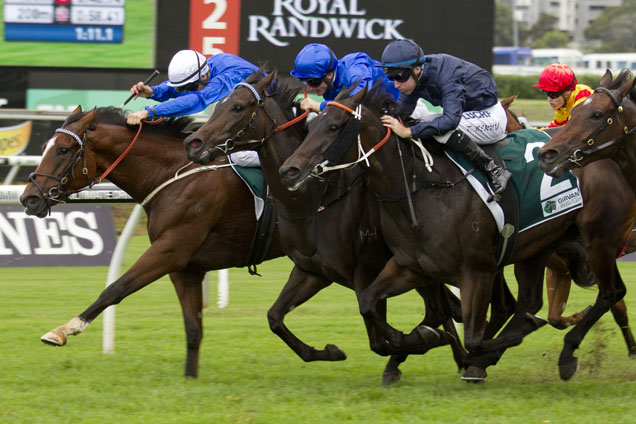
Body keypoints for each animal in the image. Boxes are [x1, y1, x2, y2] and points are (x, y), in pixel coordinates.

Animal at [19, 106, 284, 378]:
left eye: (63, 149)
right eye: (44, 146)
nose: (29, 198)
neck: (176, 175)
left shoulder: (169, 250)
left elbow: (115, 289)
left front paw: (64, 330)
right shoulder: (185, 267)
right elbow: (193, 329)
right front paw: (190, 377)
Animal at [181, 70, 480, 384]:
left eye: (238, 107)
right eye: (219, 103)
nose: (194, 143)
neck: (315, 200)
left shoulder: (366, 271)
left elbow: (378, 337)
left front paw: (422, 340)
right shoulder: (312, 271)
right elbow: (275, 318)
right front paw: (330, 351)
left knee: (441, 309)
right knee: (444, 308)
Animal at [278, 83, 636, 380]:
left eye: (334, 127)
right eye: (310, 125)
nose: (289, 170)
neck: (423, 189)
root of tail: (608, 157)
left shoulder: (477, 270)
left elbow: (474, 337)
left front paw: (458, 350)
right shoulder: (410, 267)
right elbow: (369, 303)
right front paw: (418, 339)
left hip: (599, 240)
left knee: (610, 293)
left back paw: (565, 353)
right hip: (538, 246)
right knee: (531, 301)